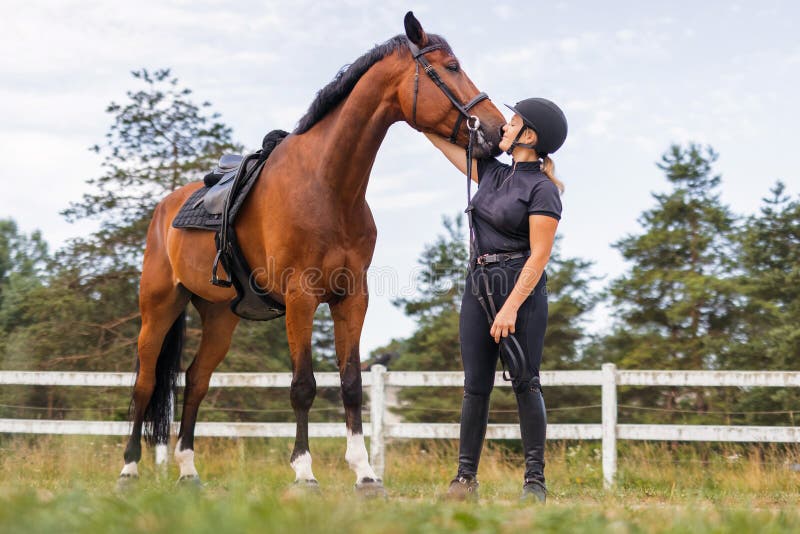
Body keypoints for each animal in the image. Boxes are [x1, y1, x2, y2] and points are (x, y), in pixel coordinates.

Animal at [117, 10, 506, 494]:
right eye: (451, 67)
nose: (497, 130)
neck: (327, 185)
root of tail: (165, 208)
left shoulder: (352, 298)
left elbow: (352, 382)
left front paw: (365, 472)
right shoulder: (301, 298)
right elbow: (303, 385)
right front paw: (304, 472)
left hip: (220, 318)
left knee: (196, 380)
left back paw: (188, 471)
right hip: (159, 307)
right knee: (146, 382)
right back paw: (129, 469)